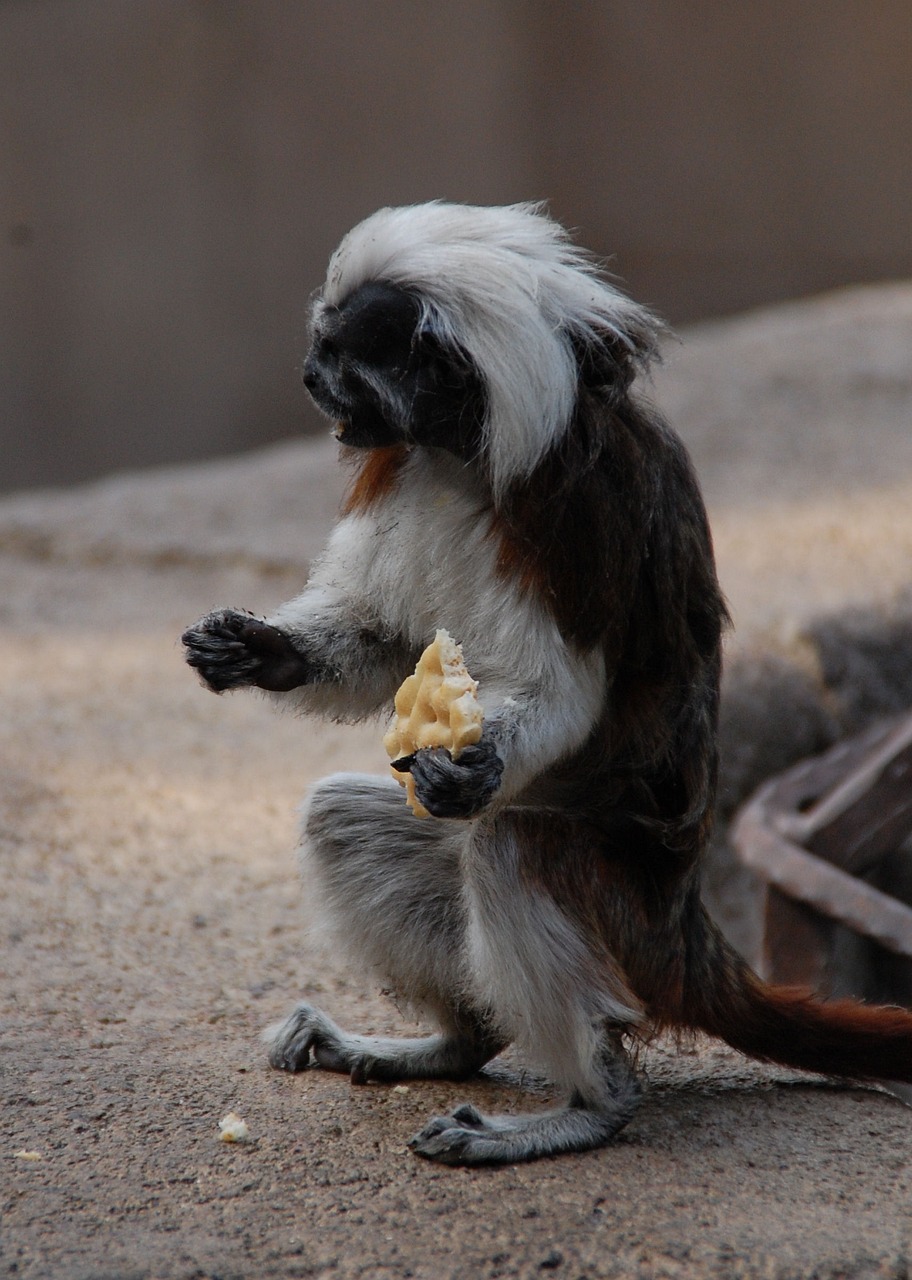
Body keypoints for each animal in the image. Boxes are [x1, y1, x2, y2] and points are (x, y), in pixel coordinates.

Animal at [181, 197, 912, 1162]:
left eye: (340, 360)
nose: (306, 378)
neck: (460, 454)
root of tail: (682, 930)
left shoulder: (573, 517)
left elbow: (561, 696)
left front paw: (480, 762)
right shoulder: (408, 465)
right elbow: (381, 640)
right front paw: (263, 651)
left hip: (620, 910)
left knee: (508, 846)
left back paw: (593, 1104)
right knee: (342, 817)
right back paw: (456, 1044)